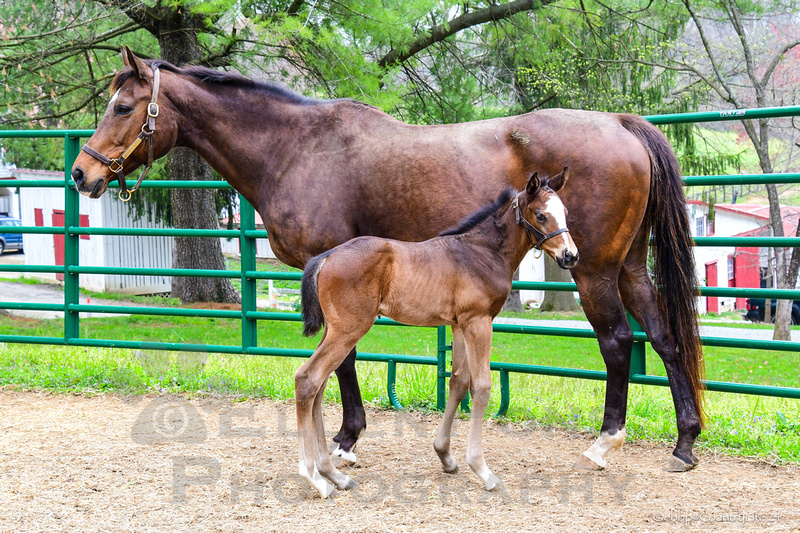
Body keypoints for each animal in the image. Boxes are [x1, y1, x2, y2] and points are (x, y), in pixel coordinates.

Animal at [294, 168, 576, 496]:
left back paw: (332, 474)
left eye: (565, 212)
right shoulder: (479, 321)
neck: (482, 252)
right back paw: (314, 477)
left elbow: (459, 381)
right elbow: (481, 386)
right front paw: (482, 469)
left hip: (335, 330)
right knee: (308, 378)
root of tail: (325, 257)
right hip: (349, 329)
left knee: (319, 384)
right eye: (541, 215)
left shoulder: (458, 324)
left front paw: (446, 456)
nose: (570, 256)